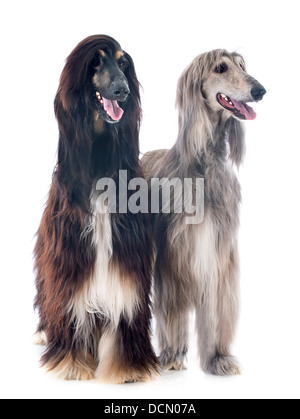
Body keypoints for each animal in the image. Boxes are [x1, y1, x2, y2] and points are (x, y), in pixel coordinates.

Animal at [33, 35, 158, 384]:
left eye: (123, 62)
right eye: (96, 62)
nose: (122, 90)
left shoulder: (127, 253)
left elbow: (124, 303)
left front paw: (127, 367)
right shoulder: (69, 255)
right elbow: (70, 304)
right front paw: (72, 363)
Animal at [142, 50, 266, 378]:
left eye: (242, 66)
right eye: (220, 67)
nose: (260, 91)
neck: (205, 165)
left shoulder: (220, 254)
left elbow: (219, 307)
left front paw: (218, 357)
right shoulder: (174, 256)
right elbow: (172, 308)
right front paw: (173, 354)